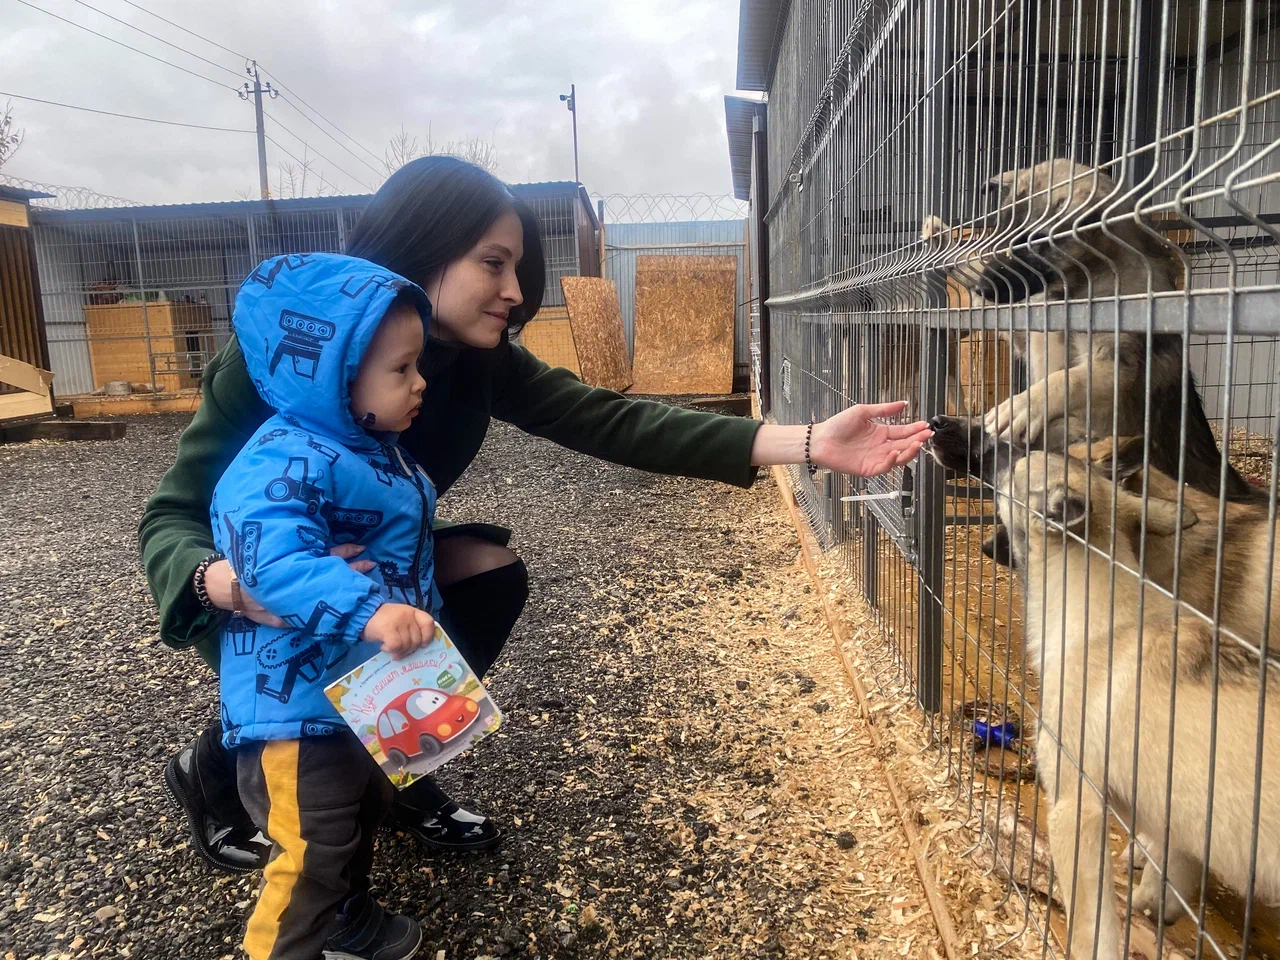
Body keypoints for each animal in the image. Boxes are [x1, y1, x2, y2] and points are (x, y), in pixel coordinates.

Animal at [921, 158, 1249, 504]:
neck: (1075, 284)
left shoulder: (1115, 363)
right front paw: (943, 239)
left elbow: (1068, 378)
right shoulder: (1024, 332)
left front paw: (1023, 405)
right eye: (1001, 234)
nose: (984, 289)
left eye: (1035, 242)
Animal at [931, 414, 1280, 960]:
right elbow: (1169, 868)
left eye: (1014, 458)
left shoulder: (1075, 812)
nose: (936, 424)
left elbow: (1095, 934)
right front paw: (1155, 901)